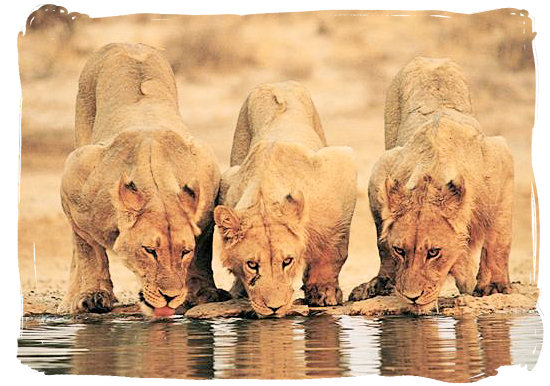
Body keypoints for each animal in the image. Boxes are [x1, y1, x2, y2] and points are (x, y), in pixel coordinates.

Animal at [56, 43, 229, 314]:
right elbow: (89, 250)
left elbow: (202, 252)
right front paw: (93, 294)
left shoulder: (207, 186)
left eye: (184, 252)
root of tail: (126, 43)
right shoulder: (74, 179)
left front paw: (204, 292)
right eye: (149, 251)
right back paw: (70, 300)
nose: (170, 296)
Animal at [213, 80, 360, 316]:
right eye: (251, 264)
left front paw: (324, 292)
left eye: (287, 261)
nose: (274, 308)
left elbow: (333, 250)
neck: (264, 196)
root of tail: (276, 83)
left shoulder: (340, 164)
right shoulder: (227, 182)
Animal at [352, 56, 516, 308]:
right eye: (400, 250)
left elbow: (498, 238)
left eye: (434, 252)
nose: (412, 297)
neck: (430, 177)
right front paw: (382, 282)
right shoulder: (381, 170)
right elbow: (382, 242)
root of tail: (430, 59)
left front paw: (494, 286)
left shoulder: (502, 159)